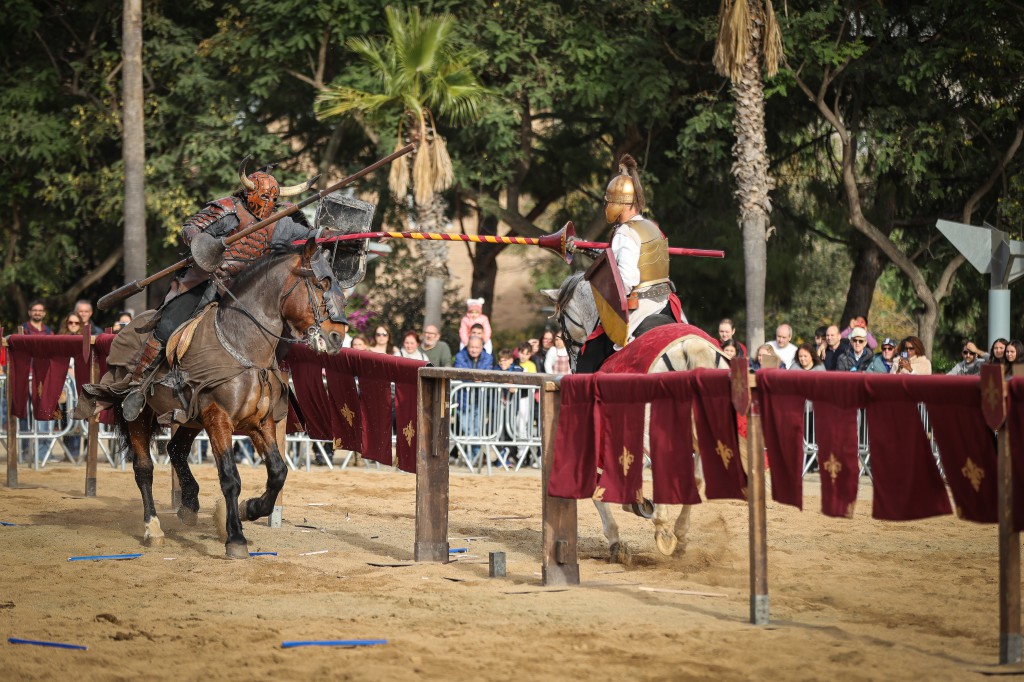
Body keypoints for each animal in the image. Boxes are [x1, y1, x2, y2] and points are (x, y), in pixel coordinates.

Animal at [84, 238, 348, 557]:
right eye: (321, 285)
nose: (337, 337)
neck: (243, 347)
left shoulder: (259, 422)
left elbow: (278, 471)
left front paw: (250, 508)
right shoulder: (218, 419)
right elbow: (230, 478)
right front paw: (235, 537)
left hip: (190, 419)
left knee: (175, 449)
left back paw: (189, 504)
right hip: (142, 415)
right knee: (143, 468)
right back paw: (153, 527)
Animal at [544, 270, 729, 561]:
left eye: (562, 322)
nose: (572, 360)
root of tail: (690, 349)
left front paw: (618, 537)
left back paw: (663, 529)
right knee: (696, 475)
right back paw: (678, 533)